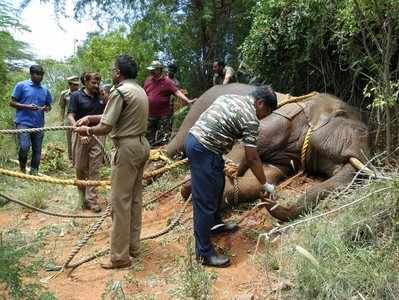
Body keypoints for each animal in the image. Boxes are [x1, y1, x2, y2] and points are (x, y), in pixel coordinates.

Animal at [165, 83, 368, 221]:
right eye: (360, 131)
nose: (269, 200)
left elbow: (264, 176)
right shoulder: (278, 118)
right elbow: (244, 146)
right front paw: (189, 186)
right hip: (195, 112)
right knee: (174, 145)